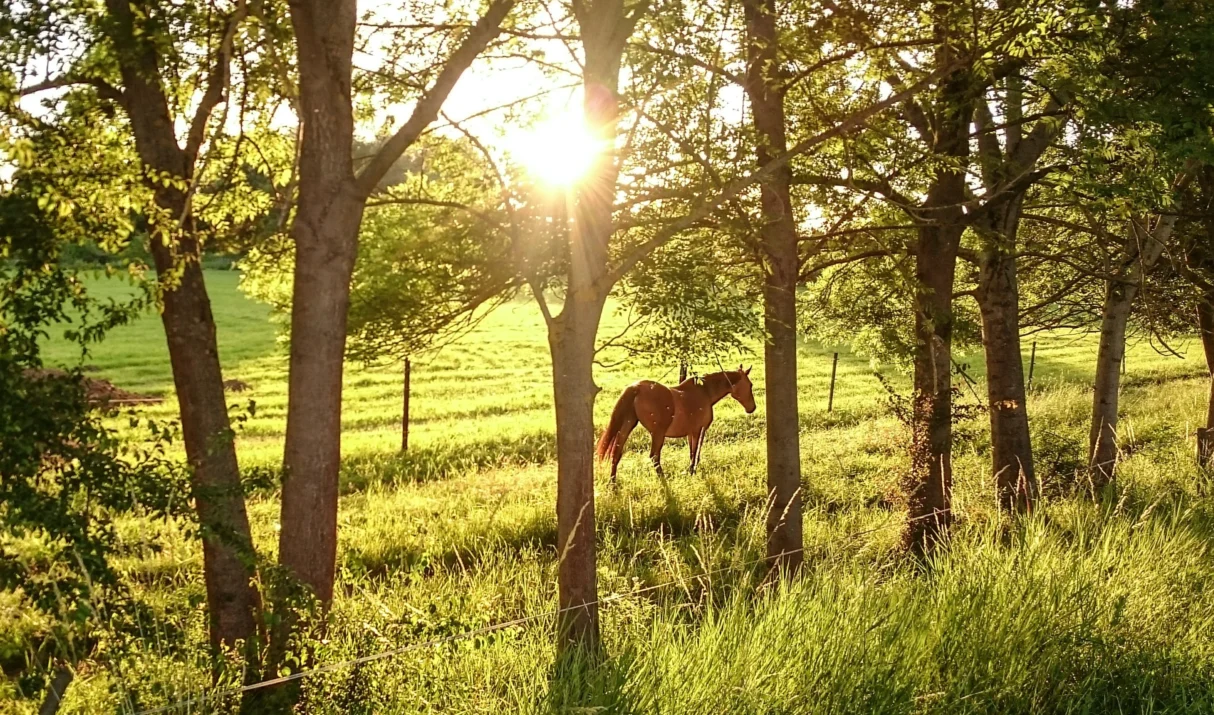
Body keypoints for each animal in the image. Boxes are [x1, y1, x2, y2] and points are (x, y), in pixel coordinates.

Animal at [595, 365, 756, 481]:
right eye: (750, 385)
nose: (752, 408)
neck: (705, 392)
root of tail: (636, 388)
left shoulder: (691, 433)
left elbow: (692, 453)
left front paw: (690, 472)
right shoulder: (699, 430)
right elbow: (695, 453)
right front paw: (692, 472)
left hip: (627, 425)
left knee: (616, 453)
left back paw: (613, 483)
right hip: (657, 434)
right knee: (654, 457)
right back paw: (663, 479)